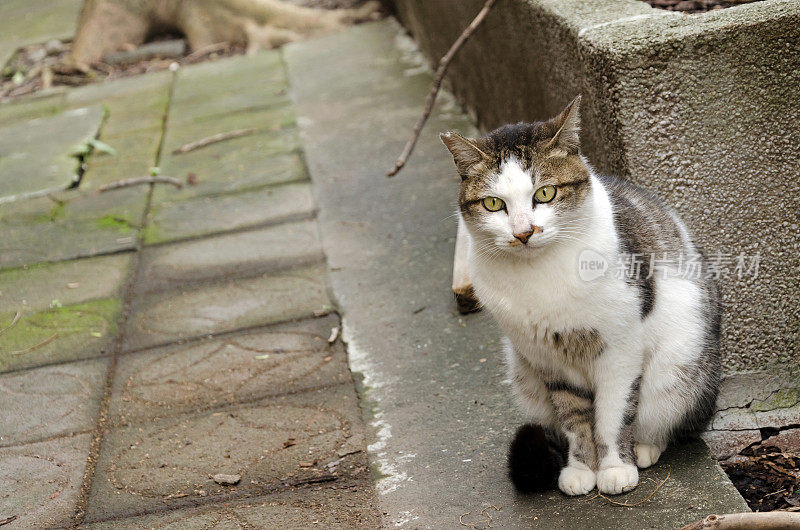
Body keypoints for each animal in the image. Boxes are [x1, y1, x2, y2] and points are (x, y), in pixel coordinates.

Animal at [440, 97, 720, 498]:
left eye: (544, 193)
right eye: (493, 204)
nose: (524, 232)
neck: (540, 274)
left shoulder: (621, 349)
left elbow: (613, 414)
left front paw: (616, 468)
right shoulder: (549, 360)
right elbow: (574, 419)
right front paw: (580, 469)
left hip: (679, 363)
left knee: (669, 420)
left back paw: (645, 448)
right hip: (522, 371)